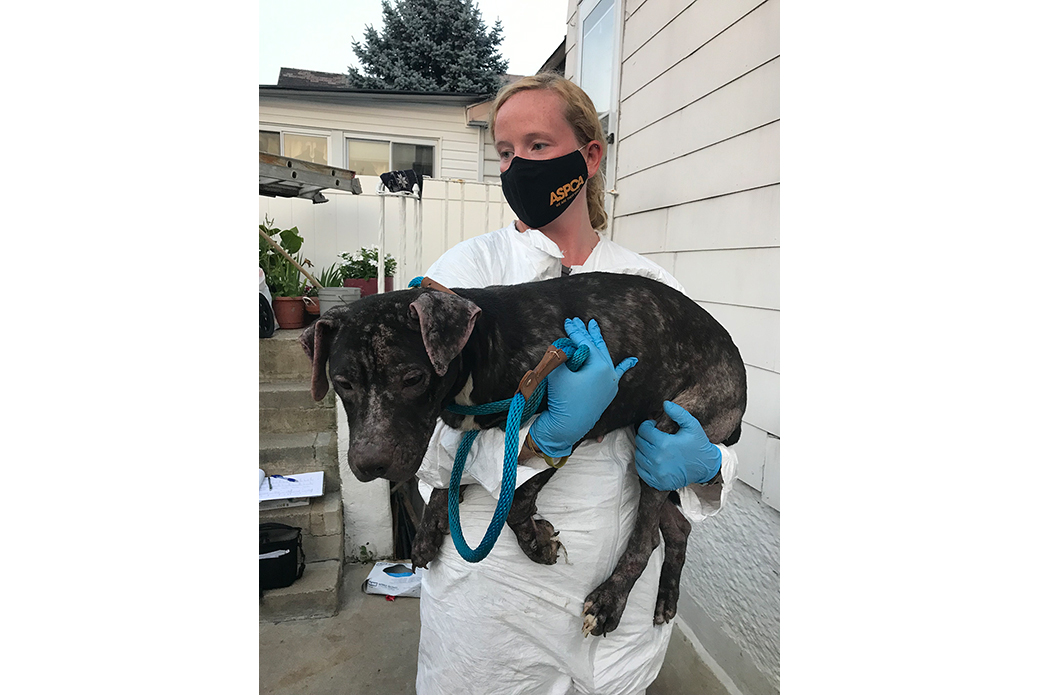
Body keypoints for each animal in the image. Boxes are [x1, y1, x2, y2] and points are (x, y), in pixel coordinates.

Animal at [301, 270, 748, 636]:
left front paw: (535, 541)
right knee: (677, 527)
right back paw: (666, 598)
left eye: (412, 378)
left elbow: (518, 498)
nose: (369, 463)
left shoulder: (569, 425)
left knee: (645, 537)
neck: (479, 348)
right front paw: (431, 528)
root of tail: (736, 357)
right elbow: (452, 477)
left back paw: (609, 601)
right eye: (342, 383)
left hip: (669, 435)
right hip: (653, 450)